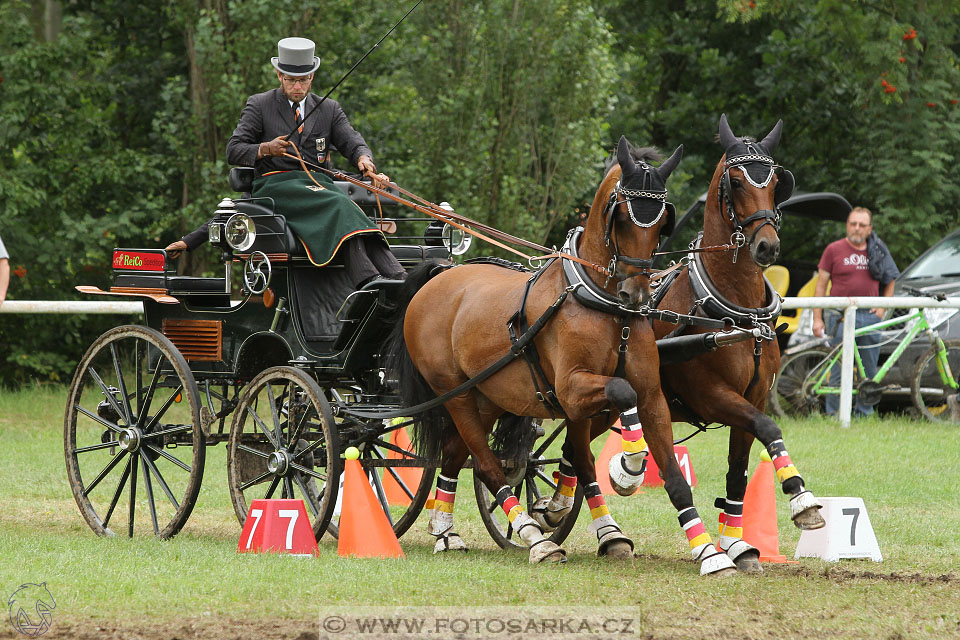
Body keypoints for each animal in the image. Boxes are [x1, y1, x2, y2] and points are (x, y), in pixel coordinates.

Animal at [390, 139, 736, 576]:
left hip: (486, 395)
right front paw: (628, 469)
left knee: (456, 453)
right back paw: (535, 539)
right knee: (486, 463)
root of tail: (437, 277)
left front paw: (709, 552)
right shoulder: (572, 390)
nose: (636, 295)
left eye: (661, 224)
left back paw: (447, 532)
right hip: (455, 394)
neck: (607, 309)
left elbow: (670, 475)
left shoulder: (651, 396)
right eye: (621, 218)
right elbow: (620, 395)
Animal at [608, 115, 824, 576]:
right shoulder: (712, 396)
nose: (767, 246)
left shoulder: (753, 396)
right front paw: (800, 498)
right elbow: (770, 427)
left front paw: (738, 544)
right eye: (736, 183)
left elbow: (739, 472)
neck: (732, 311)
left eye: (775, 181)